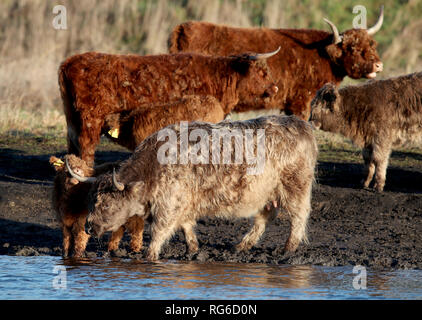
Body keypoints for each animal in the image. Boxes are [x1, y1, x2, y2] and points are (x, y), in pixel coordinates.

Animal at [67, 115, 316, 260]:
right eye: (90, 201)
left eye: (106, 204)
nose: (88, 227)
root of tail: (302, 125)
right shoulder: (183, 204)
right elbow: (186, 226)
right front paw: (193, 249)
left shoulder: (168, 205)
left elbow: (159, 231)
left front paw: (150, 255)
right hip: (267, 193)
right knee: (264, 218)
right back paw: (241, 246)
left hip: (295, 185)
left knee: (299, 215)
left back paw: (288, 248)